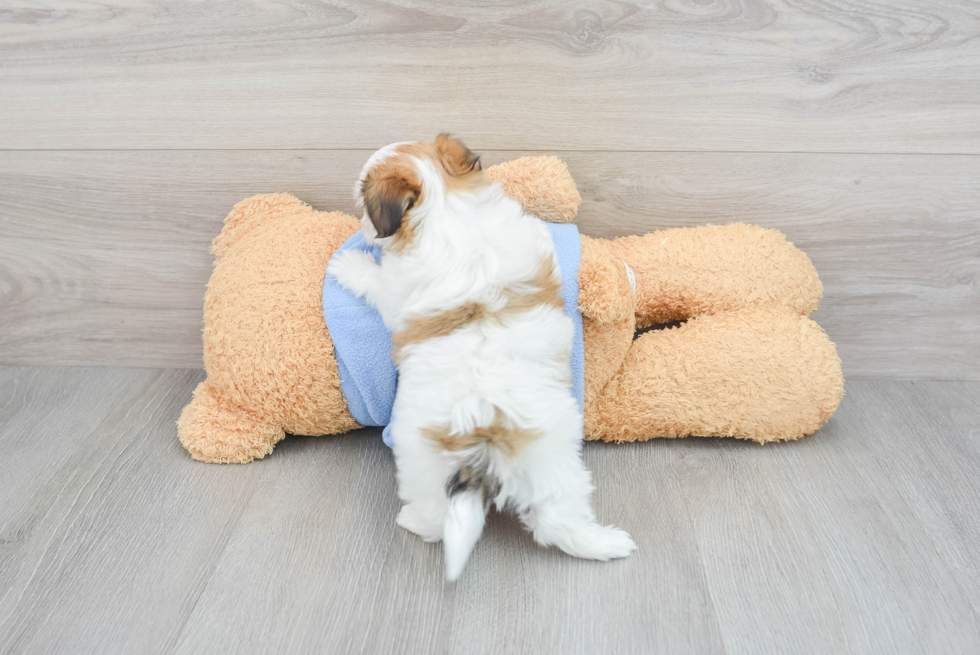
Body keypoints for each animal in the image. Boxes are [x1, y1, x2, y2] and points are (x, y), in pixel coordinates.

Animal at [330, 136, 636, 580]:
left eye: (364, 204)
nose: (361, 225)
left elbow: (377, 282)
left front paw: (349, 264)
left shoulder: (396, 291)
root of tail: (485, 431)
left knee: (436, 517)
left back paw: (411, 520)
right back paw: (607, 543)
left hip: (419, 461)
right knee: (557, 519)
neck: (445, 205)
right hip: (552, 461)